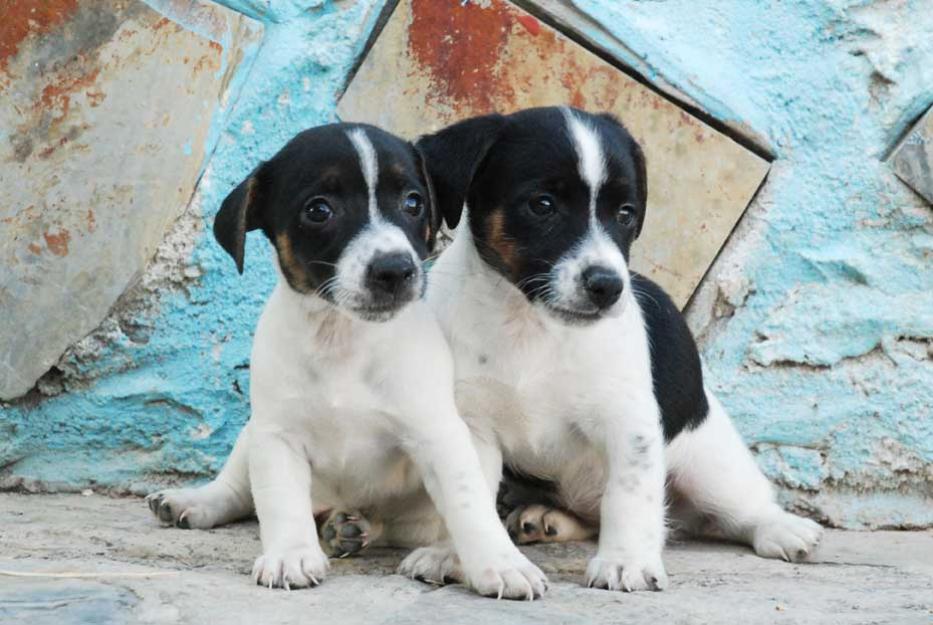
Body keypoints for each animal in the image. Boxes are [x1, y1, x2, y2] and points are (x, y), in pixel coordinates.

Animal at [146, 123, 548, 600]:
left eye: (413, 202)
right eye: (319, 210)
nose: (395, 269)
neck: (343, 338)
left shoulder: (439, 435)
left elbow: (470, 505)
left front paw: (501, 564)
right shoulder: (276, 436)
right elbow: (280, 504)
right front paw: (290, 555)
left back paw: (350, 528)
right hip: (251, 435)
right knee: (238, 490)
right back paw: (194, 501)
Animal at [412, 106, 820, 588]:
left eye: (626, 214)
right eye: (542, 205)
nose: (608, 286)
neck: (531, 323)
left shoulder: (628, 423)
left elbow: (628, 498)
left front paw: (626, 562)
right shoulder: (473, 424)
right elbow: (466, 500)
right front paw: (452, 555)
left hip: (710, 467)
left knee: (741, 509)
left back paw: (781, 528)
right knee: (593, 516)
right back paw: (547, 519)